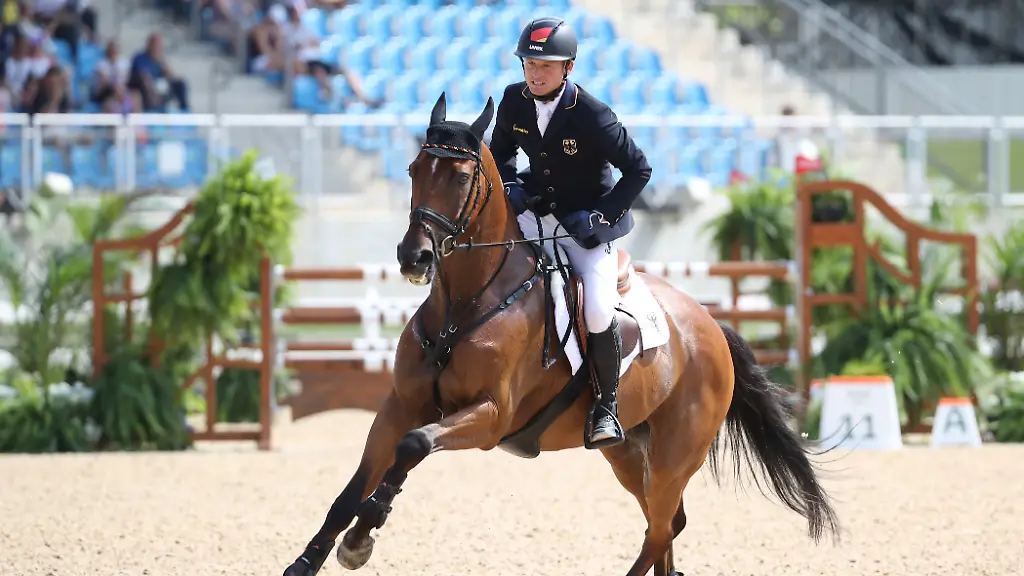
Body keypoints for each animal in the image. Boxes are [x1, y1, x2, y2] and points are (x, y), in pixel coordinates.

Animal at [282, 93, 840, 576]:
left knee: (661, 529)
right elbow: (352, 489)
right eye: (414, 170)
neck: (465, 302)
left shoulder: (490, 416)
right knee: (667, 526)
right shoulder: (400, 404)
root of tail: (710, 327)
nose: (414, 258)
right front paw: (309, 560)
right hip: (629, 452)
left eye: (461, 178)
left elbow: (414, 446)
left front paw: (362, 539)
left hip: (674, 454)